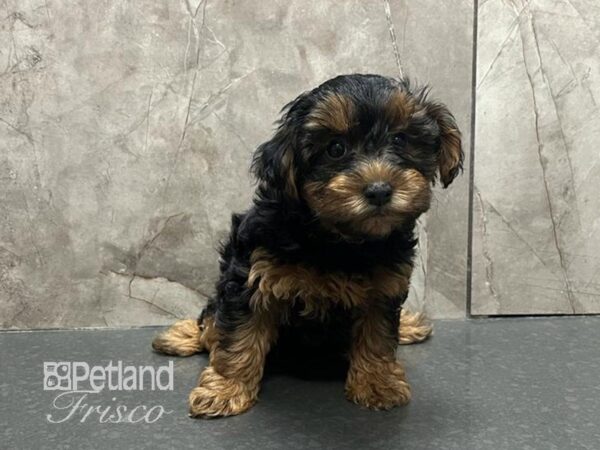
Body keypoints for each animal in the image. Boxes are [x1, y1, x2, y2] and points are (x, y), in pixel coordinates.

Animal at [152, 72, 462, 416]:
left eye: (400, 140)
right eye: (336, 148)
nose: (379, 190)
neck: (339, 240)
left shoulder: (384, 286)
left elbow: (378, 335)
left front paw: (378, 384)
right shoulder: (252, 277)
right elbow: (238, 337)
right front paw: (225, 389)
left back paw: (408, 325)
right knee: (211, 322)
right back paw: (184, 335)